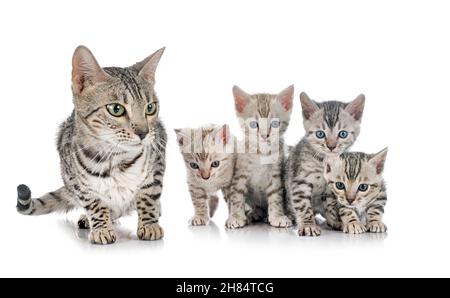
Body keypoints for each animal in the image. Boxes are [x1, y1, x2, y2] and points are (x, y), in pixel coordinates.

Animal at [15, 44, 168, 244]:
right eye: (116, 109)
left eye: (150, 108)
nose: (143, 133)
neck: (117, 159)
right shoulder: (76, 181)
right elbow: (94, 204)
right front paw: (101, 227)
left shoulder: (157, 163)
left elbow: (148, 196)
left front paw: (149, 224)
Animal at [225, 85, 296, 229]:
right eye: (254, 124)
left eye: (275, 124)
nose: (264, 136)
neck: (261, 154)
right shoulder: (239, 173)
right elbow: (236, 195)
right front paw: (236, 217)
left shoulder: (275, 174)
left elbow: (276, 196)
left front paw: (278, 216)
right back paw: (255, 213)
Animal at [288, 92, 366, 236]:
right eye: (320, 134)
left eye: (343, 134)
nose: (331, 146)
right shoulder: (300, 182)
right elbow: (304, 206)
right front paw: (308, 225)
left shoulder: (332, 187)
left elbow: (331, 204)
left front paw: (335, 221)